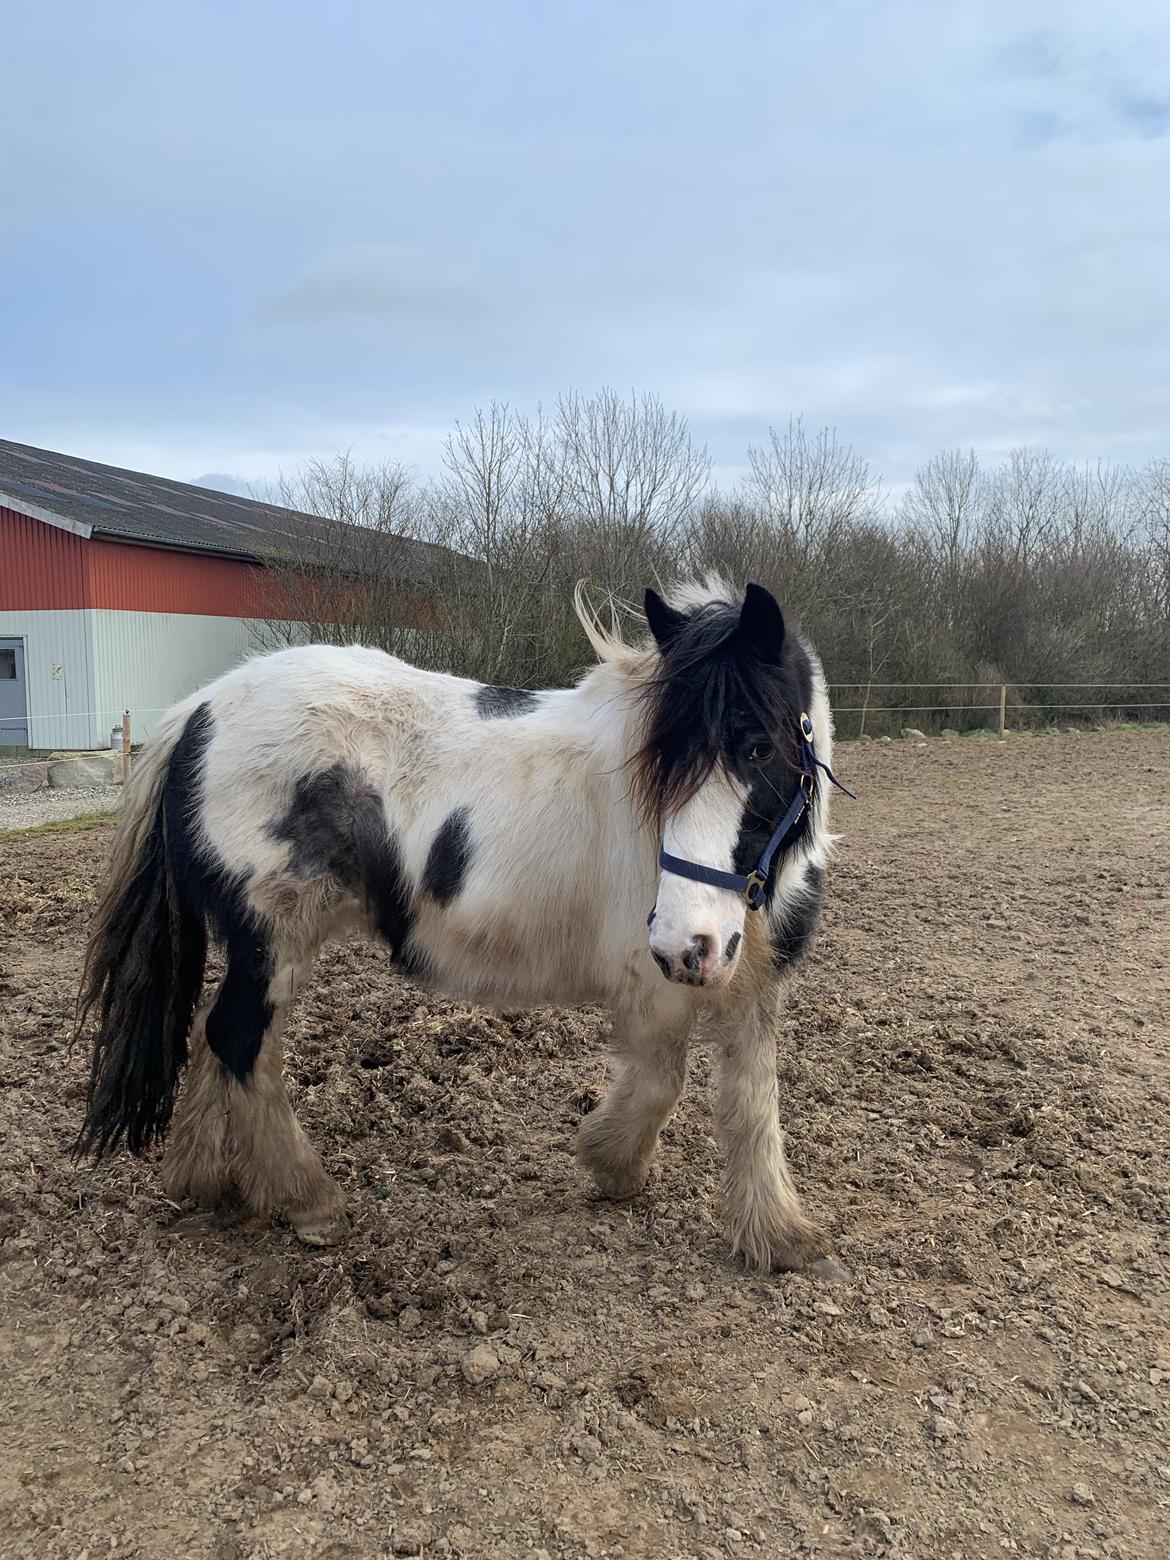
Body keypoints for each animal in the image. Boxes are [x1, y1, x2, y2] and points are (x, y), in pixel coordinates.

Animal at [80, 580, 854, 1272]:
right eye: (663, 762)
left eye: (759, 748)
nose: (687, 944)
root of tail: (202, 709)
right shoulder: (652, 982)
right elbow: (665, 1079)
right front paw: (612, 1165)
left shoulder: (753, 983)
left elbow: (753, 1098)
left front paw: (781, 1236)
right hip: (274, 935)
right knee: (238, 1039)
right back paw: (306, 1201)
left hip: (262, 945)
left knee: (218, 1035)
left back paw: (205, 1180)